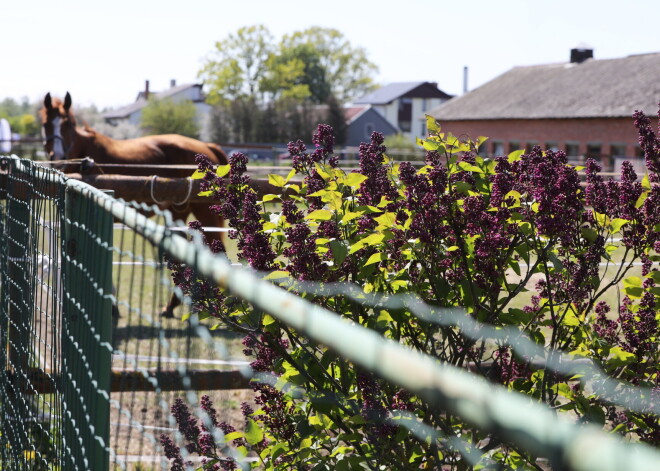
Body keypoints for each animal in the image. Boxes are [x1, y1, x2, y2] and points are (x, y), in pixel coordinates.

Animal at [40, 92, 229, 318]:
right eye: (46, 124)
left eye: (67, 124)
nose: (58, 157)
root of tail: (208, 147)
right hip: (178, 214)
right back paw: (173, 306)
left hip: (204, 213)